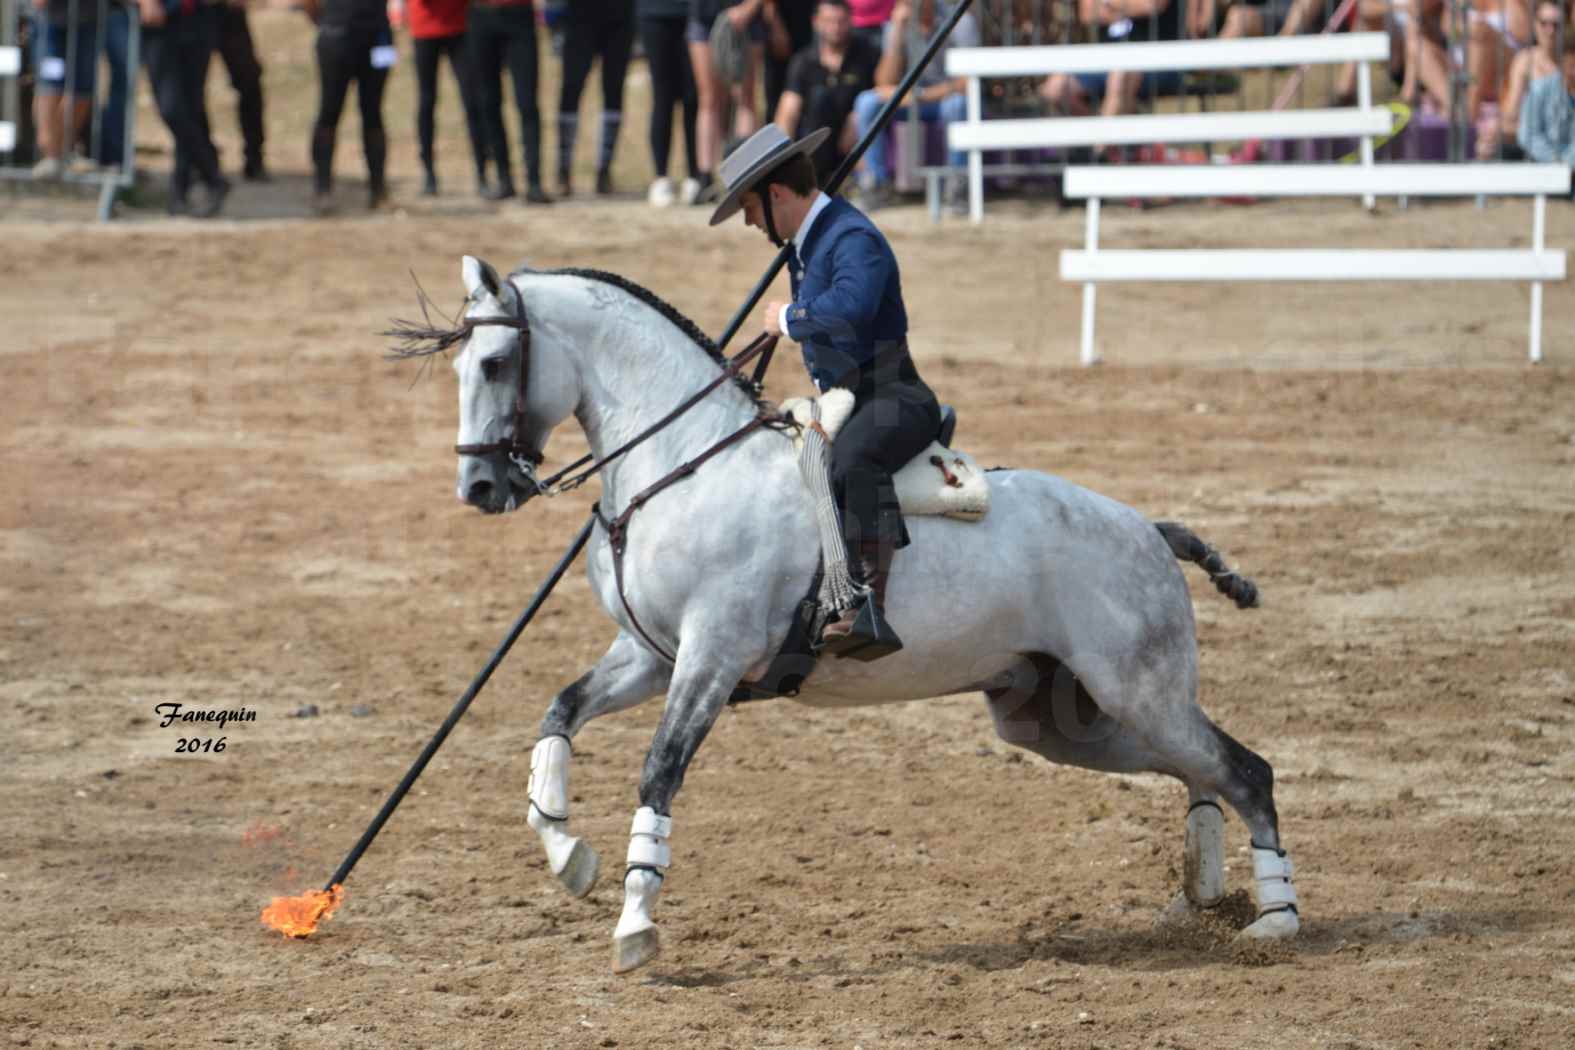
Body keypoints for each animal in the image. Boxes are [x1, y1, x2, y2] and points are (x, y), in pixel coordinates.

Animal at [412, 256, 1297, 976]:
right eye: (460, 364)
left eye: (495, 362)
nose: (478, 488)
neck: (683, 464)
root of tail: (1147, 527)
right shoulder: (649, 655)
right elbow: (558, 712)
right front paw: (568, 853)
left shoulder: (710, 657)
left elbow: (658, 771)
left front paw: (634, 925)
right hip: (1059, 719)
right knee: (1199, 771)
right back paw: (1201, 898)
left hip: (1135, 692)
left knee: (1245, 770)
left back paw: (1274, 921)